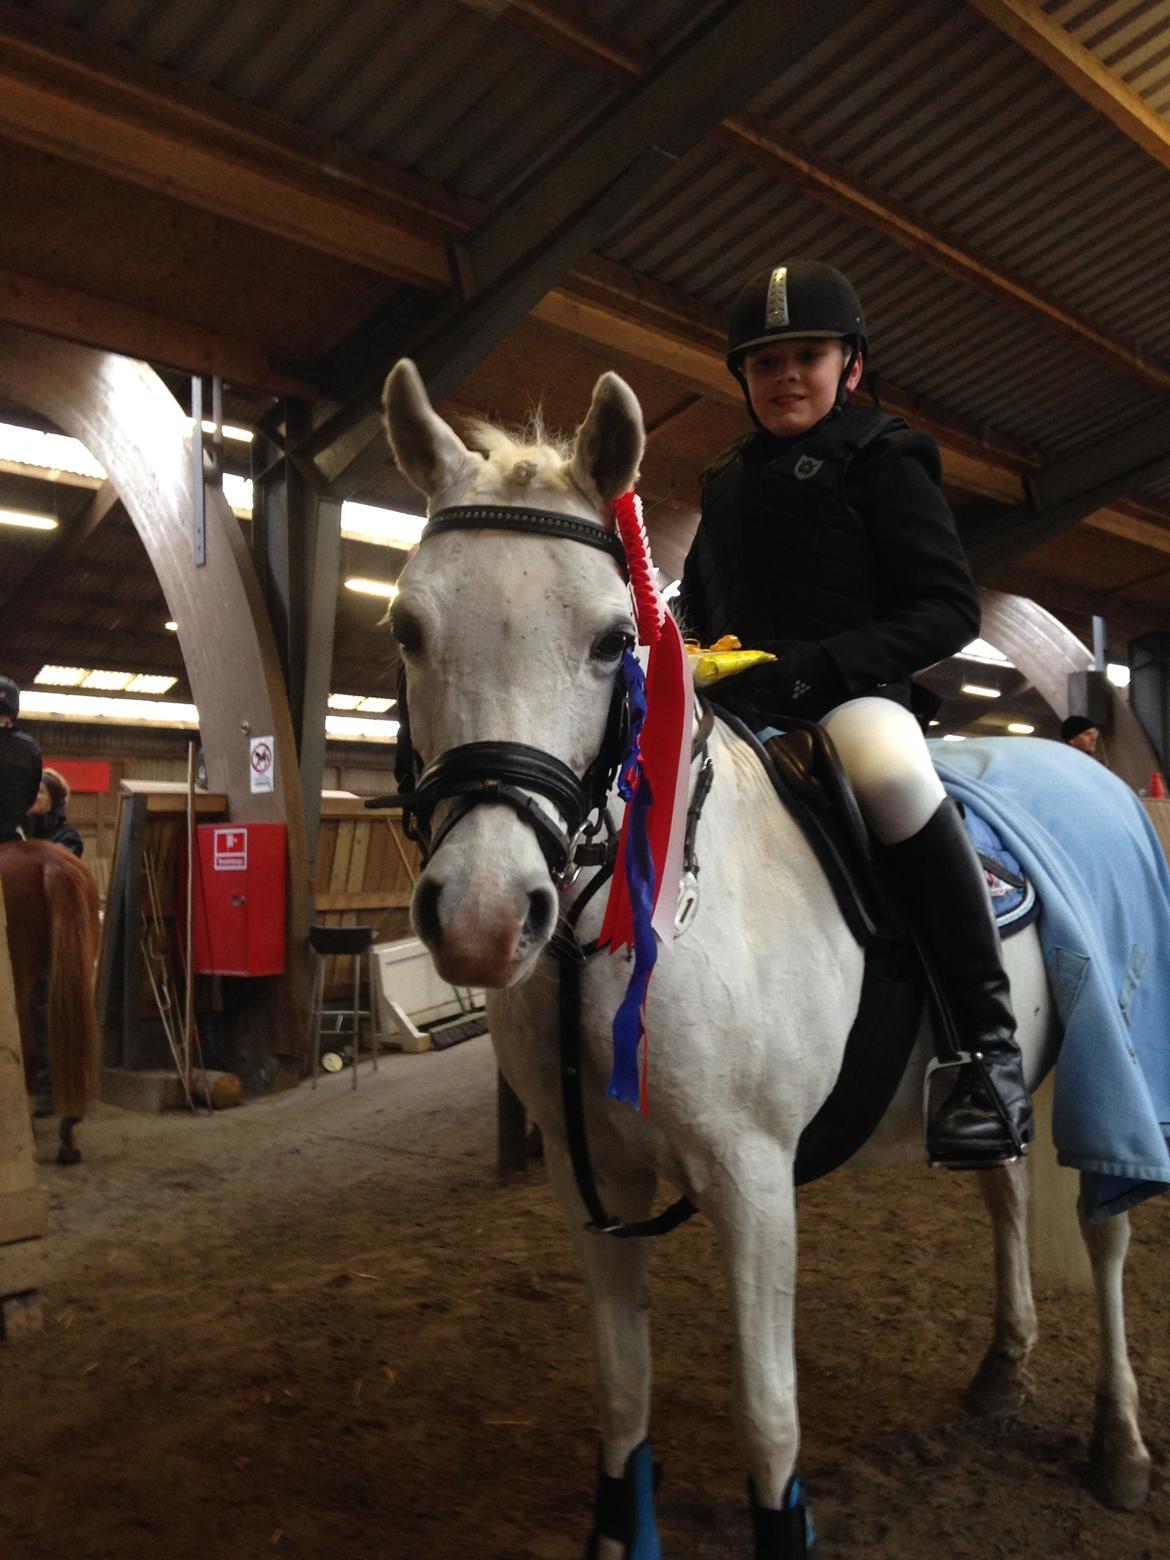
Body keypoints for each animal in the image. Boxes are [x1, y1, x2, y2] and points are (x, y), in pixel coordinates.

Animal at [378, 357, 1153, 1558]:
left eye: (612, 640)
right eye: (410, 627)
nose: (484, 916)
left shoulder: (751, 1180)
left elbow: (767, 1416)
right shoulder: (589, 1174)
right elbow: (622, 1392)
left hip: (1112, 1061)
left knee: (1104, 1234)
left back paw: (1118, 1444)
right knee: (1005, 1190)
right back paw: (1001, 1369)